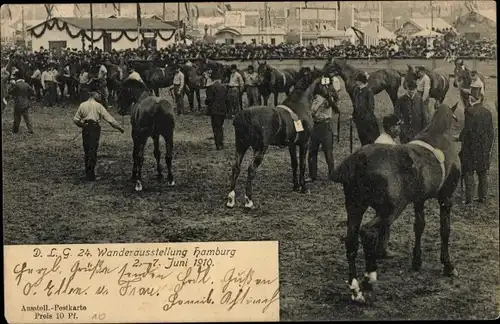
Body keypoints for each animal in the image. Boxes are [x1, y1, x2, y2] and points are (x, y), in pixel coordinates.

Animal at [227, 68, 340, 210]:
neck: (300, 105)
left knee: (236, 168)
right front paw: (303, 187)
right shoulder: (304, 144)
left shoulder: (292, 144)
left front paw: (295, 186)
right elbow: (302, 164)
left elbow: (294, 164)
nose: (336, 95)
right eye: (328, 83)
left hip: (241, 146)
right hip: (259, 149)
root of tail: (244, 114)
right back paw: (249, 201)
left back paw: (231, 199)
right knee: (251, 169)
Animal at [330, 102, 458, 304]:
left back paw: (355, 288)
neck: (439, 136)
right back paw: (369, 279)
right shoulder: (446, 198)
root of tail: (359, 159)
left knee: (351, 240)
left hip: (355, 207)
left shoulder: (419, 199)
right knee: (367, 232)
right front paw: (448, 265)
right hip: (390, 210)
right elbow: (445, 230)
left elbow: (419, 226)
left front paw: (417, 261)